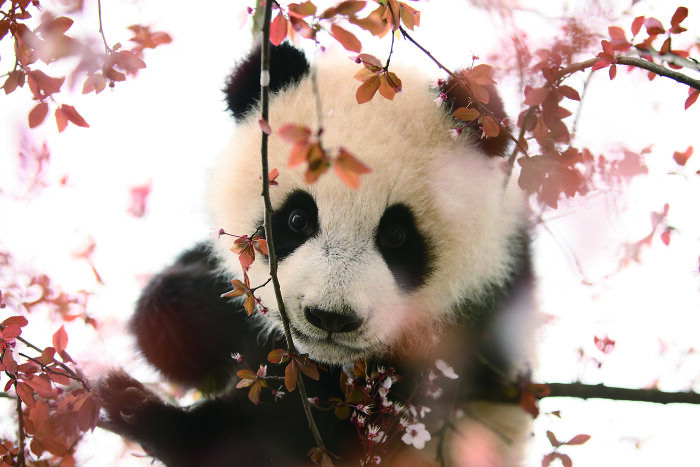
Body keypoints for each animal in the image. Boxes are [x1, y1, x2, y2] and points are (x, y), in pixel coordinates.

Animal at [98, 42, 532, 466]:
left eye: (396, 235)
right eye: (297, 218)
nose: (331, 317)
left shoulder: (466, 333)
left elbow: (268, 440)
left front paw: (137, 409)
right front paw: (184, 322)